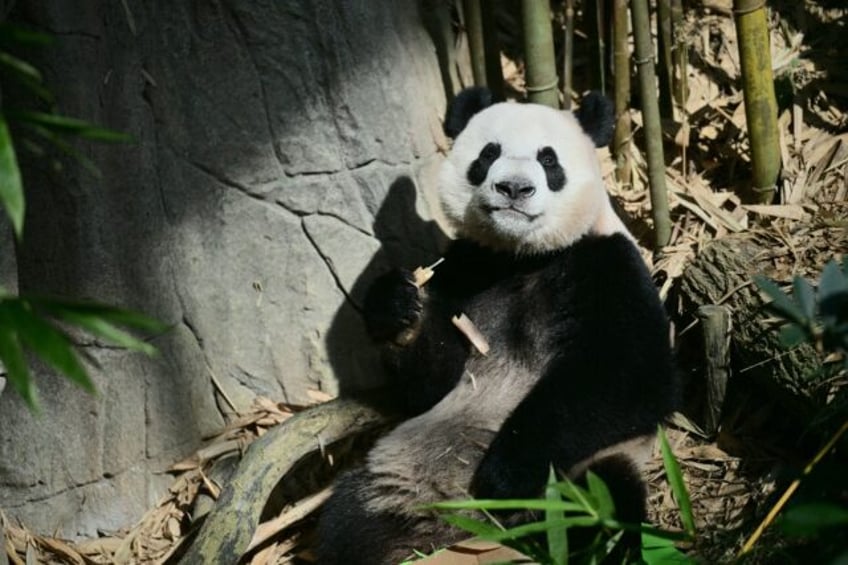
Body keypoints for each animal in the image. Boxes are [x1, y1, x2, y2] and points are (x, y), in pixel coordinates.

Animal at [316, 88, 676, 564]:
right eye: (488, 155)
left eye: (549, 160)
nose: (514, 188)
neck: (521, 254)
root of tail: (461, 534)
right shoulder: (467, 265)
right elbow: (428, 387)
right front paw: (400, 309)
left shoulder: (608, 265)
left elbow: (631, 377)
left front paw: (503, 475)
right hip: (392, 478)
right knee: (346, 524)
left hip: (587, 475)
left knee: (606, 504)